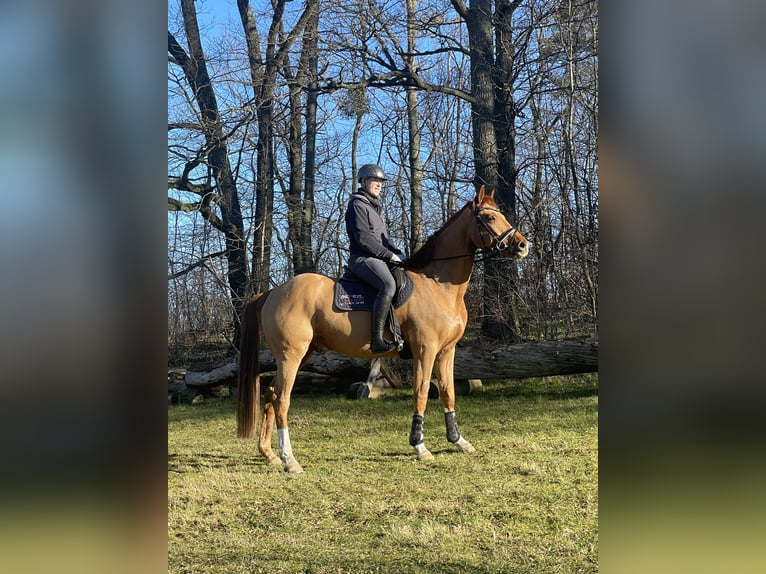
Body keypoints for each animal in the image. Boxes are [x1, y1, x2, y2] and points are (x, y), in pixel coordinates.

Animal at [237, 187, 532, 474]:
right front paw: (420, 447)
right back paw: (289, 459)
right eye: (490, 217)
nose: (522, 245)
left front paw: (458, 441)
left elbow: (448, 392)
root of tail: (273, 292)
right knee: (281, 400)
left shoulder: (447, 352)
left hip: (301, 354)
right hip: (291, 356)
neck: (439, 286)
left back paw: (269, 455)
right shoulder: (425, 351)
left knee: (270, 394)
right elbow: (421, 392)